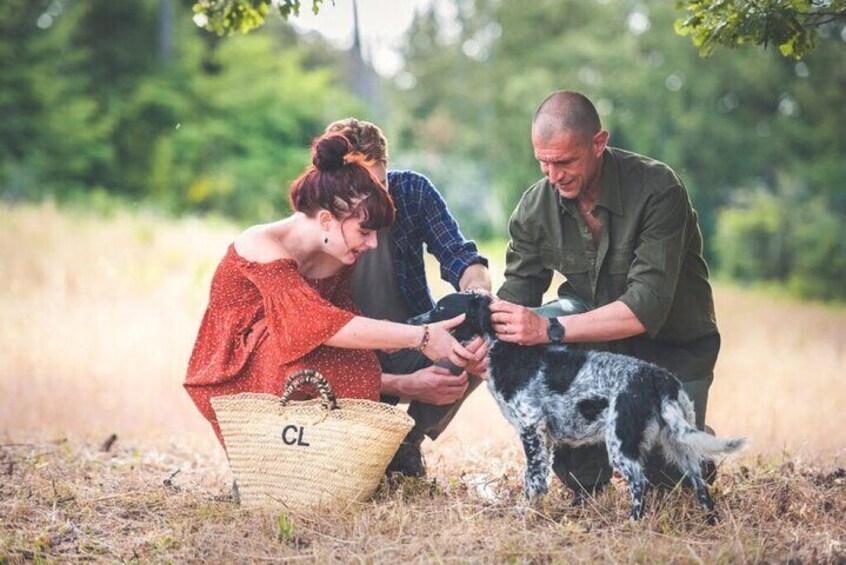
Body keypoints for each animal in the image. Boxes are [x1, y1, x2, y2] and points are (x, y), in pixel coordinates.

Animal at [410, 290, 748, 520]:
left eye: (441, 307)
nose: (412, 321)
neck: (509, 351)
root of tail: (660, 379)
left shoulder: (531, 428)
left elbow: (532, 480)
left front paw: (524, 512)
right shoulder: (544, 437)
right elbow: (538, 480)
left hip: (622, 442)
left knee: (640, 483)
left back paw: (633, 523)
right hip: (679, 445)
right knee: (700, 482)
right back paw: (710, 520)